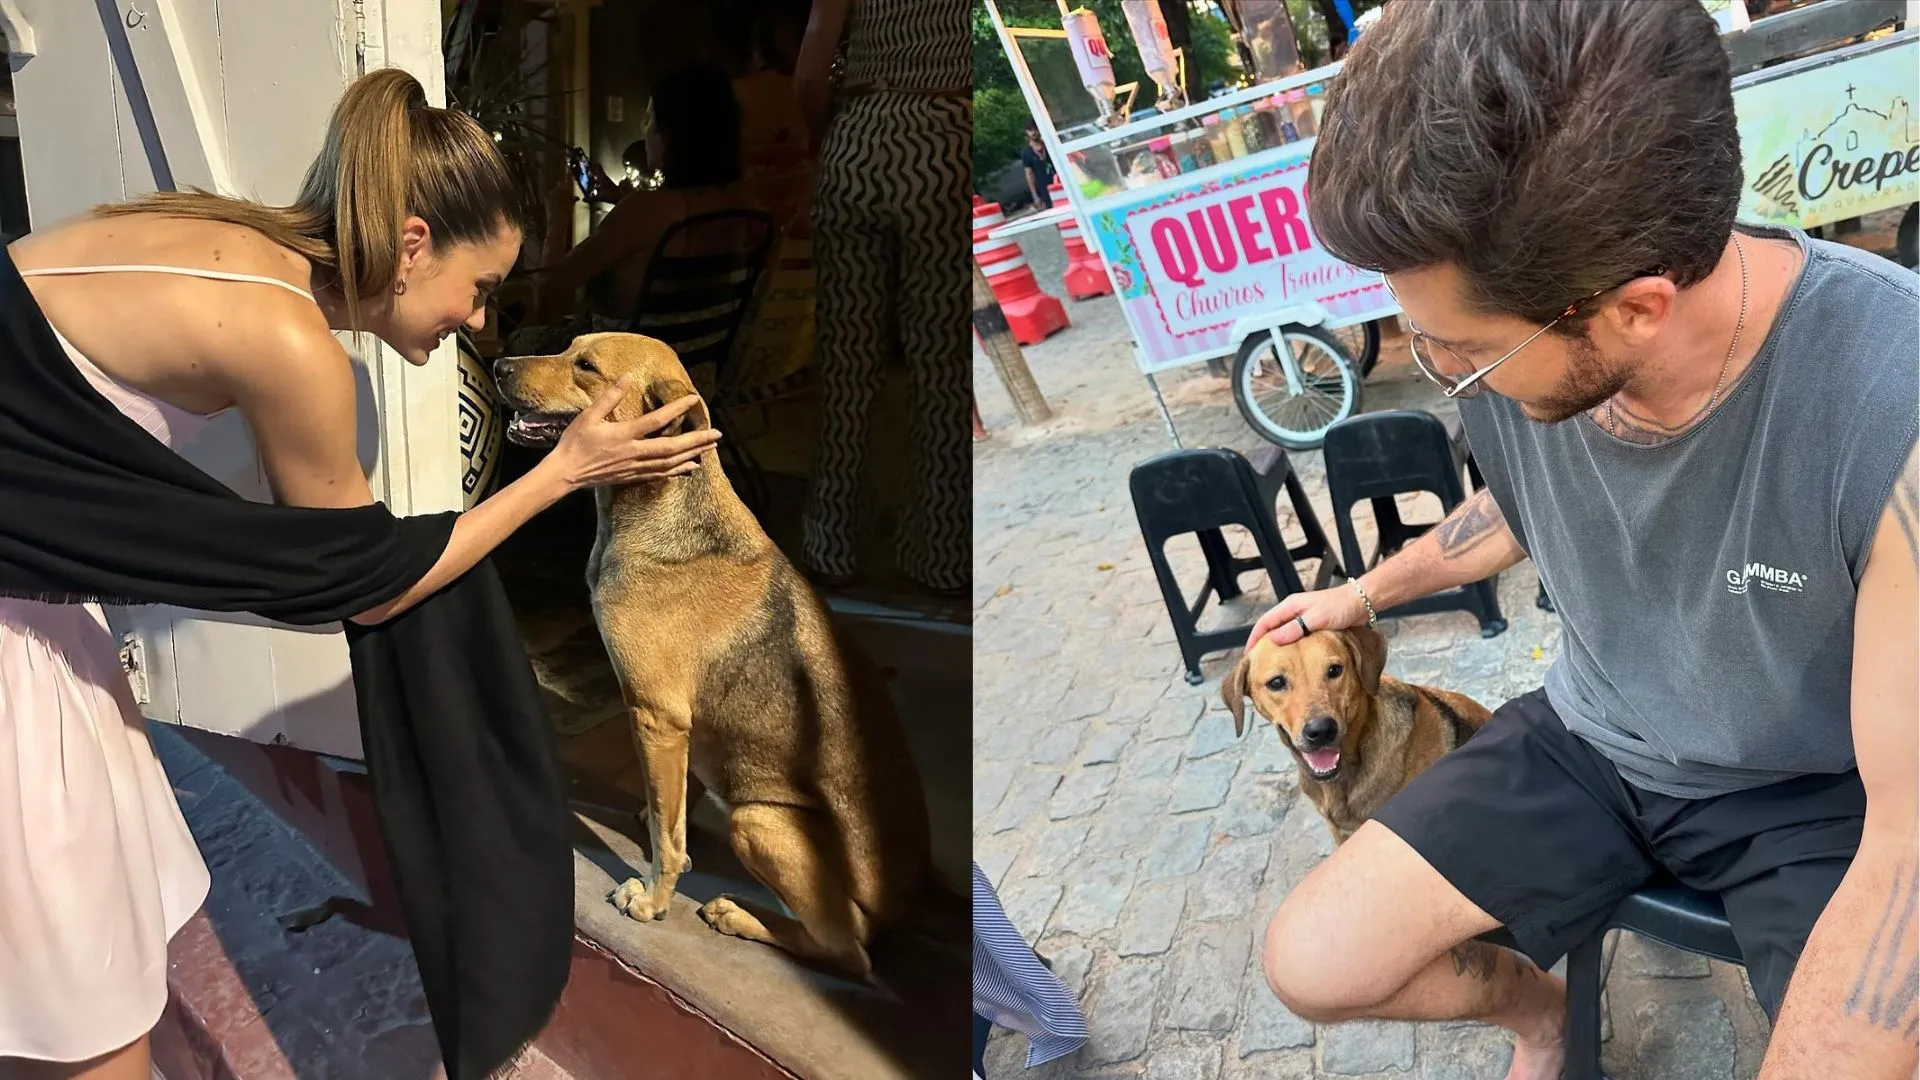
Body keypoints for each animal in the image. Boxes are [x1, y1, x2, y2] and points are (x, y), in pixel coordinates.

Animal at [495, 328, 936, 976]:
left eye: (587, 366)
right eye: (570, 345)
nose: (499, 363)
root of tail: (909, 904)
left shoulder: (657, 715)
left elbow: (669, 838)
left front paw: (653, 900)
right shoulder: (683, 724)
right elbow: (674, 806)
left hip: (756, 820)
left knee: (848, 953)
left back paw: (739, 915)